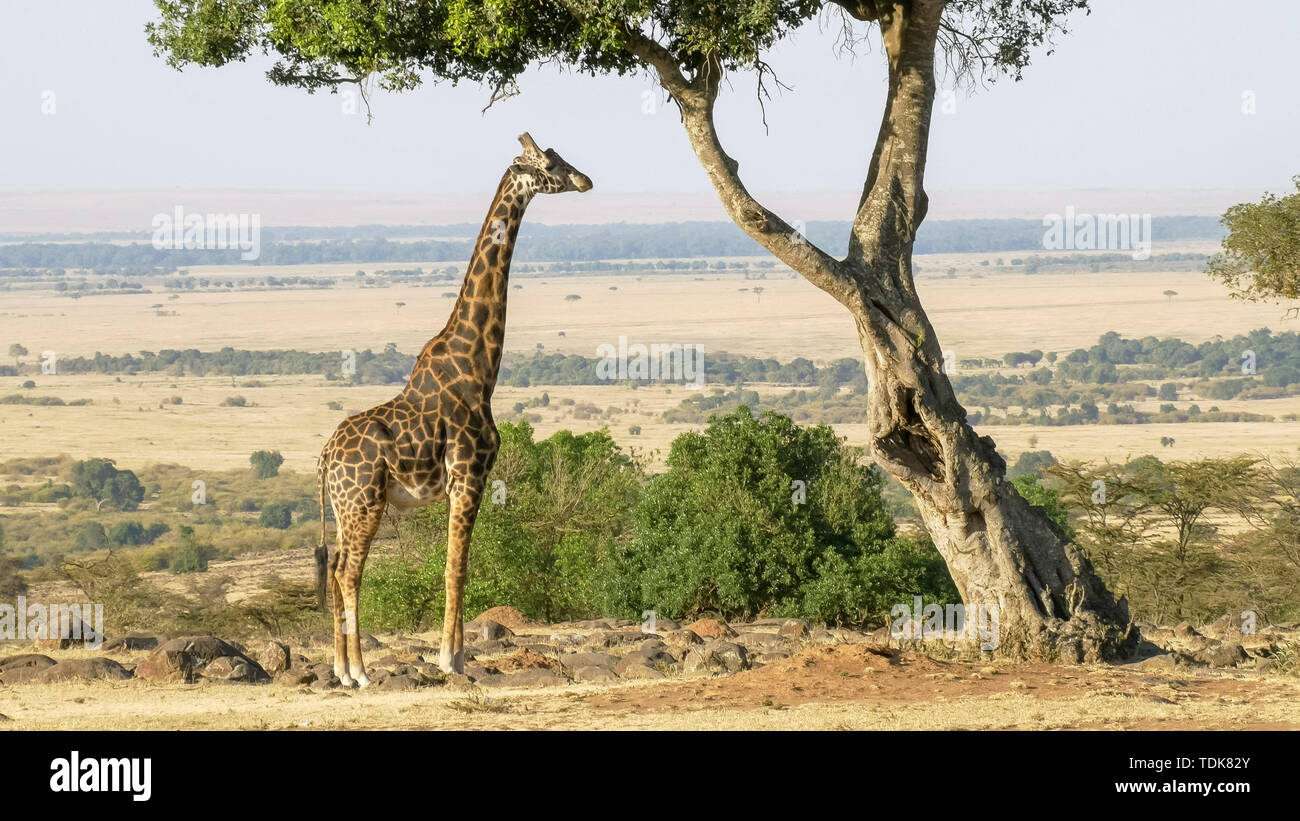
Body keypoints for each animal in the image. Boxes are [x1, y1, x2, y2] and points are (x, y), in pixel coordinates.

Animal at [314, 133, 592, 685]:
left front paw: (458, 655)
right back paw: (360, 672)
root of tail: (324, 458)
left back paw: (340, 669)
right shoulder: (470, 473)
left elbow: (455, 562)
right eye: (551, 164)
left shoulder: (461, 482)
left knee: (336, 568)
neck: (478, 367)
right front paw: (451, 659)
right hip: (364, 501)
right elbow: (456, 566)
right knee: (349, 571)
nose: (585, 179)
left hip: (344, 505)